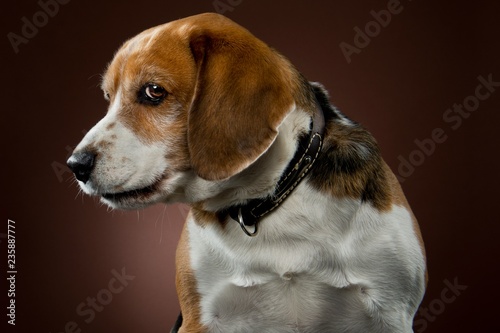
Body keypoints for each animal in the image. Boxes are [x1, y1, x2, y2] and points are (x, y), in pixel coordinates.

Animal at [66, 13, 426, 332]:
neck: (268, 200)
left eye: (154, 91)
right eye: (108, 98)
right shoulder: (200, 318)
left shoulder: (391, 311)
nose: (75, 165)